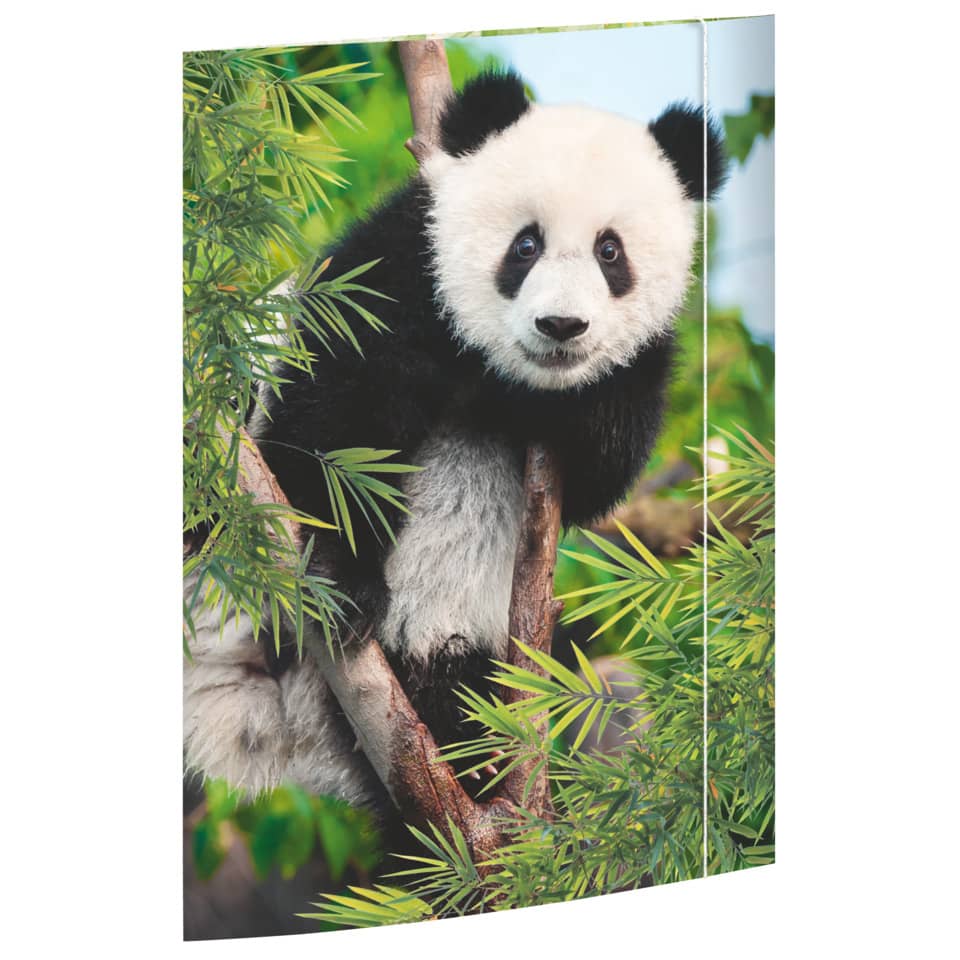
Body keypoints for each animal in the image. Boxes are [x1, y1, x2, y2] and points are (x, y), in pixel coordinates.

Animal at [183, 70, 727, 812]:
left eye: (609, 251)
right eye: (525, 245)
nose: (561, 326)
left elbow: (601, 473)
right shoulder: (402, 266)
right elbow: (333, 420)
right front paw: (343, 576)